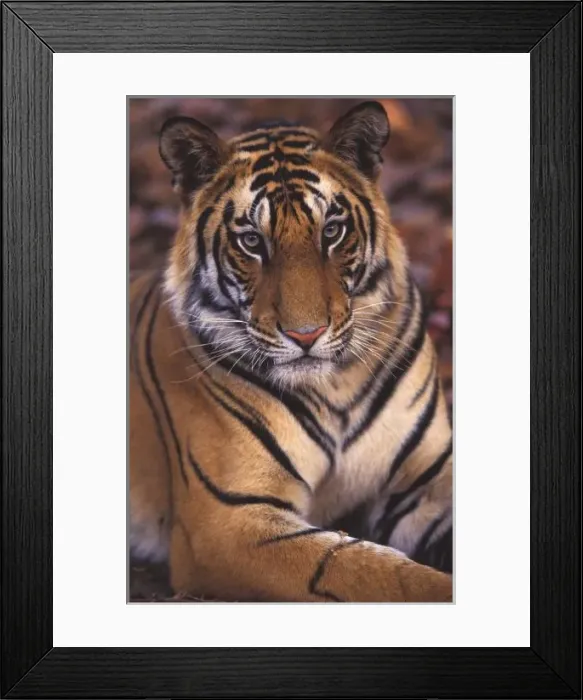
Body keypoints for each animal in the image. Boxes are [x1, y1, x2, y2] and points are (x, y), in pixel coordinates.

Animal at [130, 101, 453, 602]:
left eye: (333, 232)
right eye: (251, 241)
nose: (307, 334)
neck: (336, 387)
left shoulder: (424, 483)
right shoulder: (230, 519)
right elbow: (369, 570)